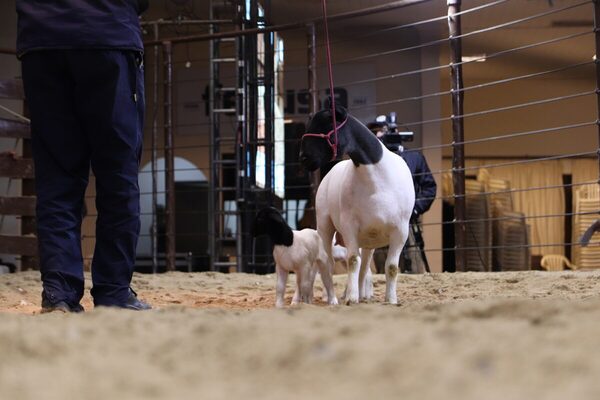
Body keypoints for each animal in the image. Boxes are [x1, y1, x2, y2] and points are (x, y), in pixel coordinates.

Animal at [298, 104, 414, 304]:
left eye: (324, 126)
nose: (303, 158)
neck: (376, 178)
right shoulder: (349, 226)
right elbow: (353, 261)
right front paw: (351, 298)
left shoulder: (401, 230)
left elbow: (391, 267)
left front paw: (391, 300)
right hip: (325, 224)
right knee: (327, 264)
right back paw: (333, 298)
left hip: (368, 239)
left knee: (365, 267)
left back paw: (362, 295)